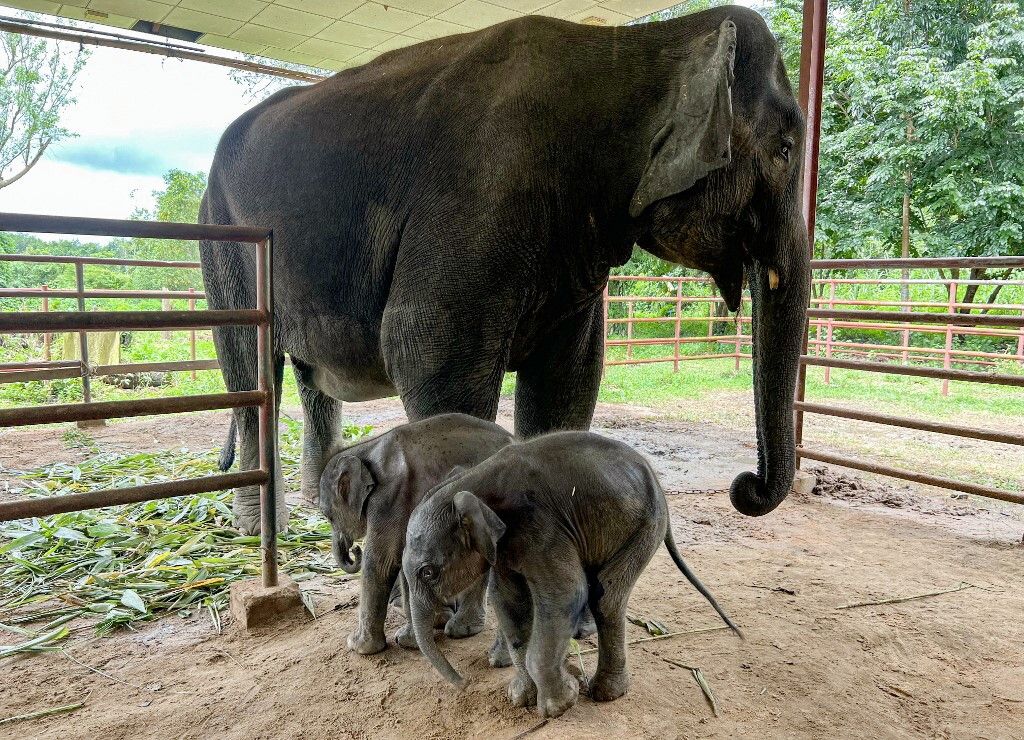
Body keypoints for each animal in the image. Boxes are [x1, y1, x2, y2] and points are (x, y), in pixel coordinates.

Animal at [197, 5, 806, 532]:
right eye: (786, 150)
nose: (745, 486)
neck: (632, 46)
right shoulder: (471, 201)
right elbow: (429, 354)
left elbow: (568, 379)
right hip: (222, 237)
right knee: (249, 368)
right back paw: (259, 527)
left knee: (310, 377)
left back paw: (321, 508)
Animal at [317, 417, 512, 655]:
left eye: (327, 515)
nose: (355, 549)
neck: (365, 448)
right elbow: (404, 560)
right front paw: (419, 635)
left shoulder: (389, 499)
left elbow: (381, 563)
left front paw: (359, 646)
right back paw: (463, 629)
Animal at [397, 431, 737, 720]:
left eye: (428, 572)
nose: (465, 684)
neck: (472, 482)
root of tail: (655, 477)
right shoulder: (506, 546)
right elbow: (509, 602)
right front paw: (521, 698)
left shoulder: (539, 526)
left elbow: (565, 593)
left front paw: (561, 703)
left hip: (645, 526)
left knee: (606, 597)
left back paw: (606, 693)